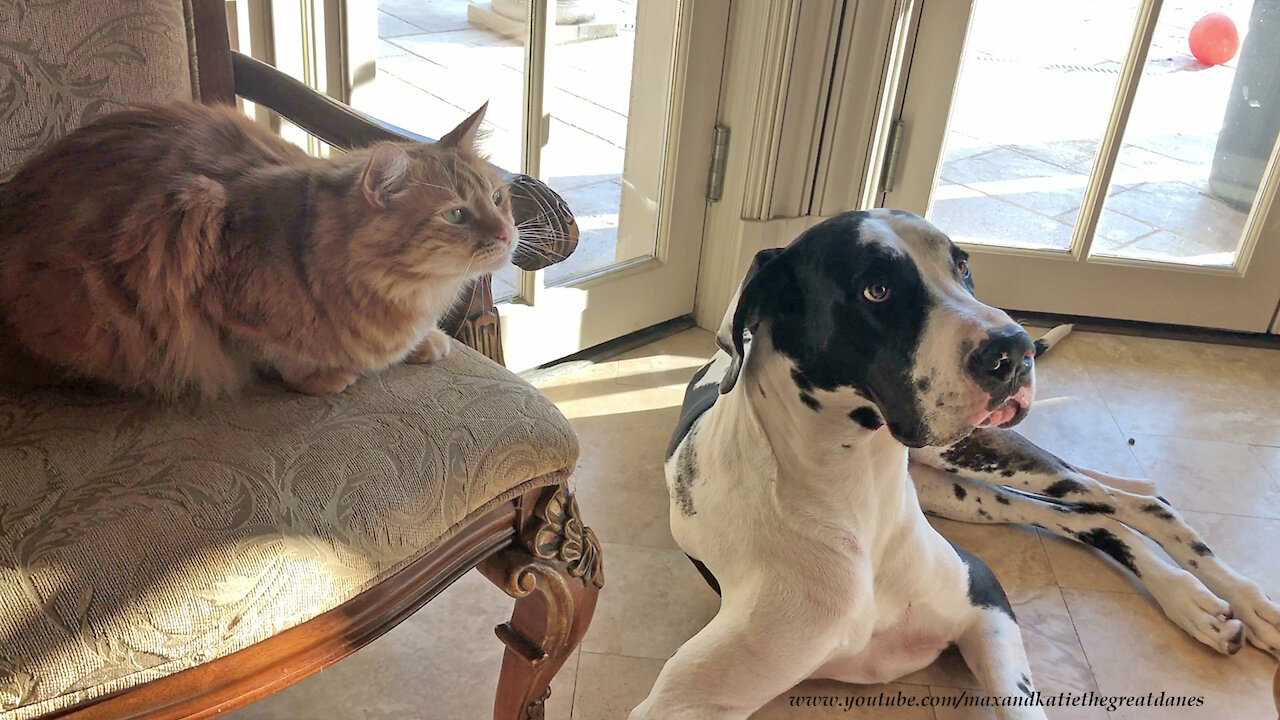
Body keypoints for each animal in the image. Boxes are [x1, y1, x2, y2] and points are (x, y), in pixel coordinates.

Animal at [0, 98, 514, 394]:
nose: (509, 234)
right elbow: (275, 353)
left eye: (496, 198)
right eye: (455, 215)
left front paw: (424, 343)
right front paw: (324, 375)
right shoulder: (193, 259)